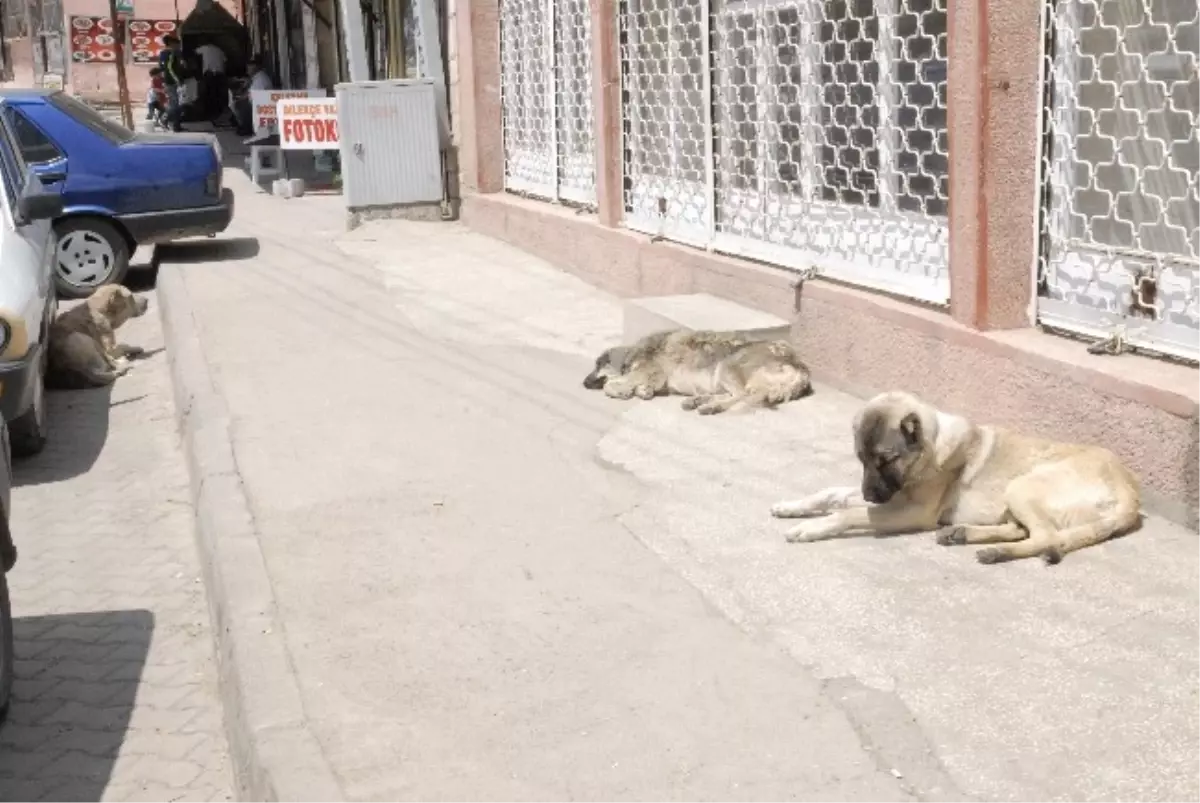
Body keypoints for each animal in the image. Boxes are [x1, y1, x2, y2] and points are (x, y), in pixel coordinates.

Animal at [583, 326, 816, 412]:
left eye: (597, 365)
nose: (584, 383)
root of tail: (801, 368)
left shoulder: (647, 372)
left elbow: (611, 385)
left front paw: (623, 391)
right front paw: (642, 391)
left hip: (727, 365)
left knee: (742, 395)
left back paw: (711, 406)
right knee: (735, 394)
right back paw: (698, 401)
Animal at [772, 391, 1137, 561]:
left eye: (886, 460)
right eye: (861, 459)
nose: (869, 496)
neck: (929, 449)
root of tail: (1131, 494)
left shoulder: (911, 512)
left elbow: (847, 513)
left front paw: (810, 528)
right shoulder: (893, 498)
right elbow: (830, 493)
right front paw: (793, 506)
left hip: (1023, 486)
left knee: (1046, 537)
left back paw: (996, 553)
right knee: (1023, 530)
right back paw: (963, 534)